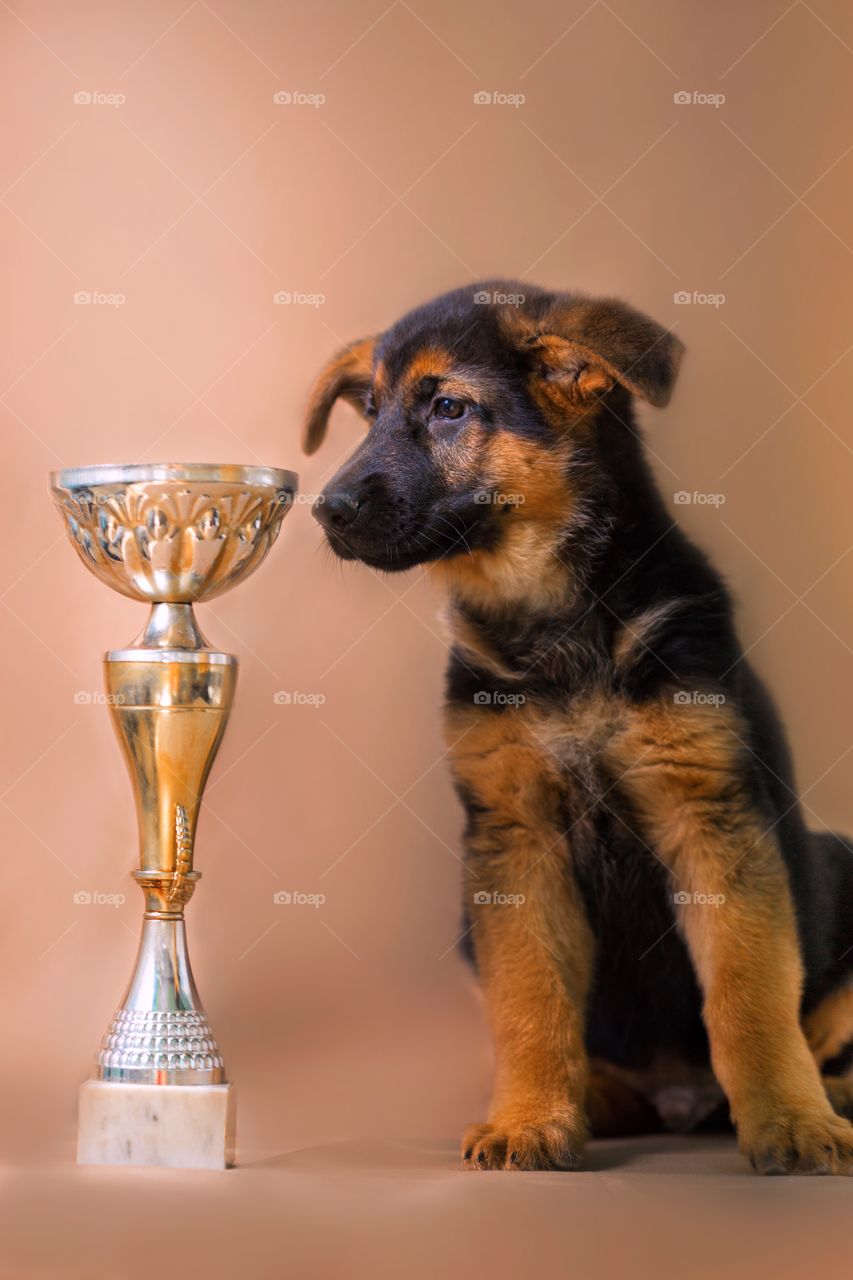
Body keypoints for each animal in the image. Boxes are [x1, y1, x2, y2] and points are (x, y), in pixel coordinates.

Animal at [302, 285, 850, 1172]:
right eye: (372, 413)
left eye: (449, 408)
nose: (327, 510)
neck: (554, 620)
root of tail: (679, 1098)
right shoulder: (513, 838)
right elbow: (529, 998)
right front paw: (529, 1118)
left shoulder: (712, 819)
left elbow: (749, 994)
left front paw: (791, 1121)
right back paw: (592, 1100)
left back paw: (832, 1094)